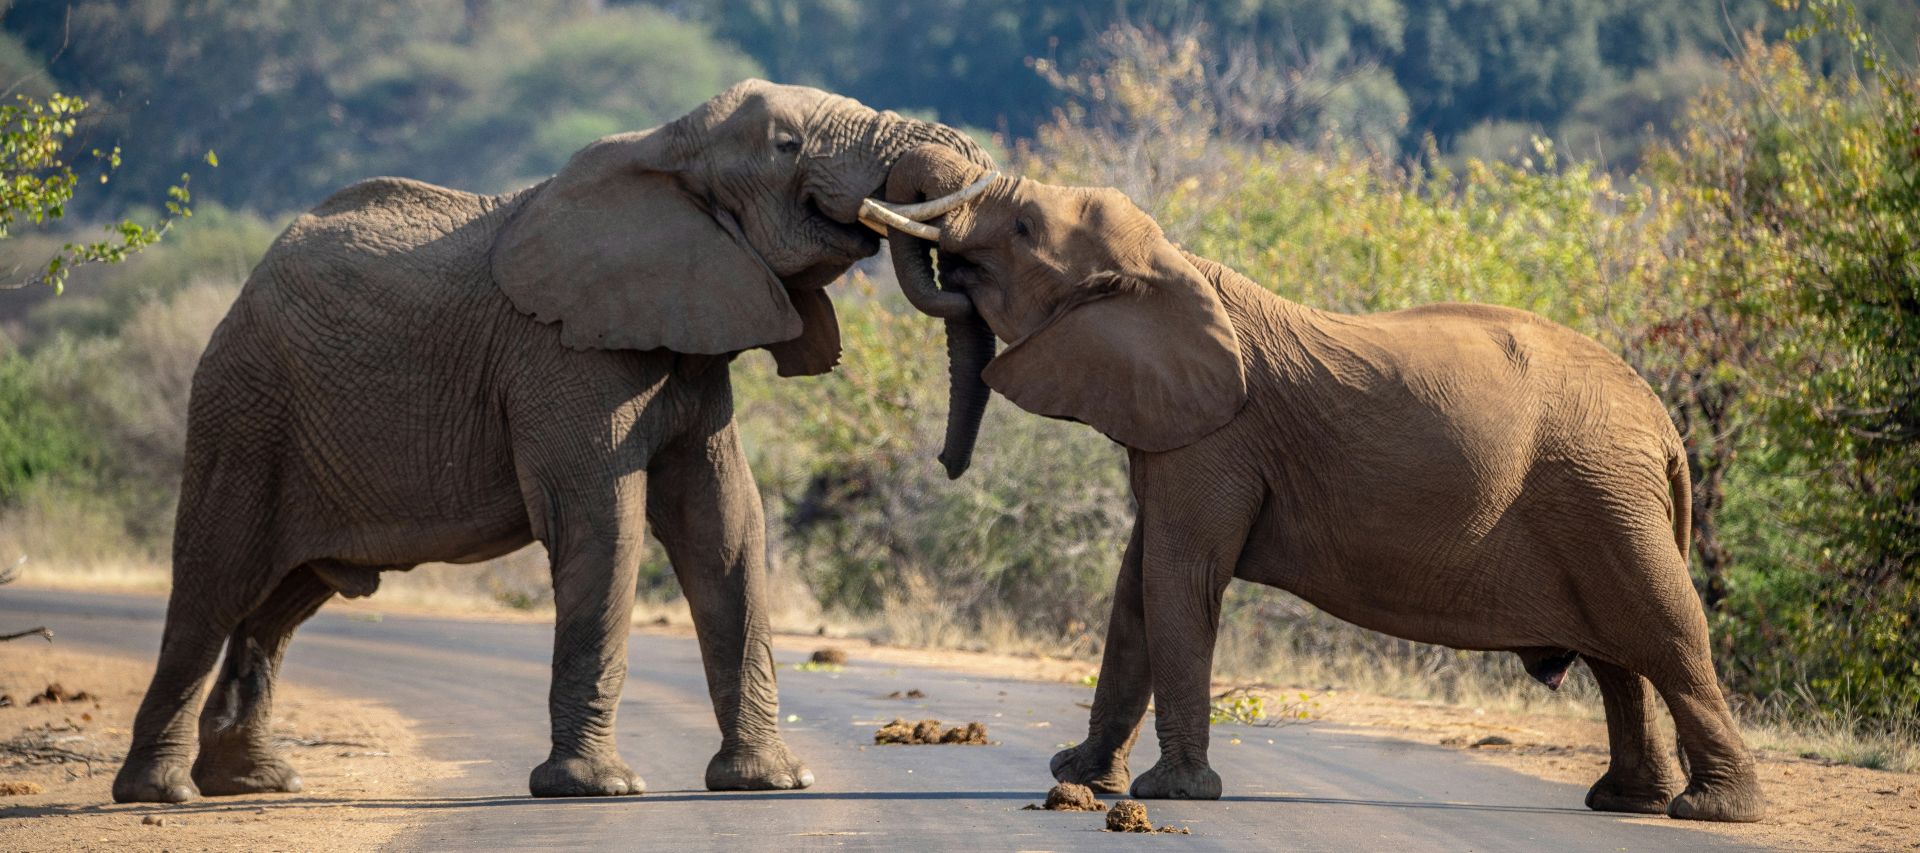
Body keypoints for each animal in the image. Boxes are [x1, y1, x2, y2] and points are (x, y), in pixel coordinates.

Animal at [111, 81, 999, 804]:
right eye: (787, 146)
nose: (947, 464)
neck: (666, 144)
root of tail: (245, 289)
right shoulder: (562, 354)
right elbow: (604, 522)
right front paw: (597, 789)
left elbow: (726, 526)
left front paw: (771, 783)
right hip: (244, 409)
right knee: (214, 582)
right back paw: (162, 794)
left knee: (284, 600)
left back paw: (254, 782)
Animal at [868, 145, 1766, 823]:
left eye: (1023, 228)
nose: (945, 464)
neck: (1172, 263)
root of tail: (1665, 426)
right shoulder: (1180, 434)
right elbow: (1135, 588)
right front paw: (1080, 776)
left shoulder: (1217, 440)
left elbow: (1177, 579)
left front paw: (1170, 793)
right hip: (1598, 493)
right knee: (1620, 656)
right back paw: (1624, 803)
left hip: (1605, 492)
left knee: (1665, 631)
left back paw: (1711, 810)